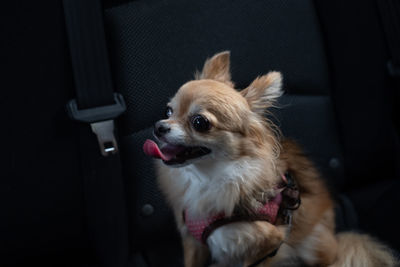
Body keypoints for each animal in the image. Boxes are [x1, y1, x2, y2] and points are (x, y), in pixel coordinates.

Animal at [142, 51, 396, 266]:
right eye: (168, 111)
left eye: (200, 123)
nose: (159, 126)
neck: (208, 178)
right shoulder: (192, 241)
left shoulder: (268, 243)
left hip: (313, 244)